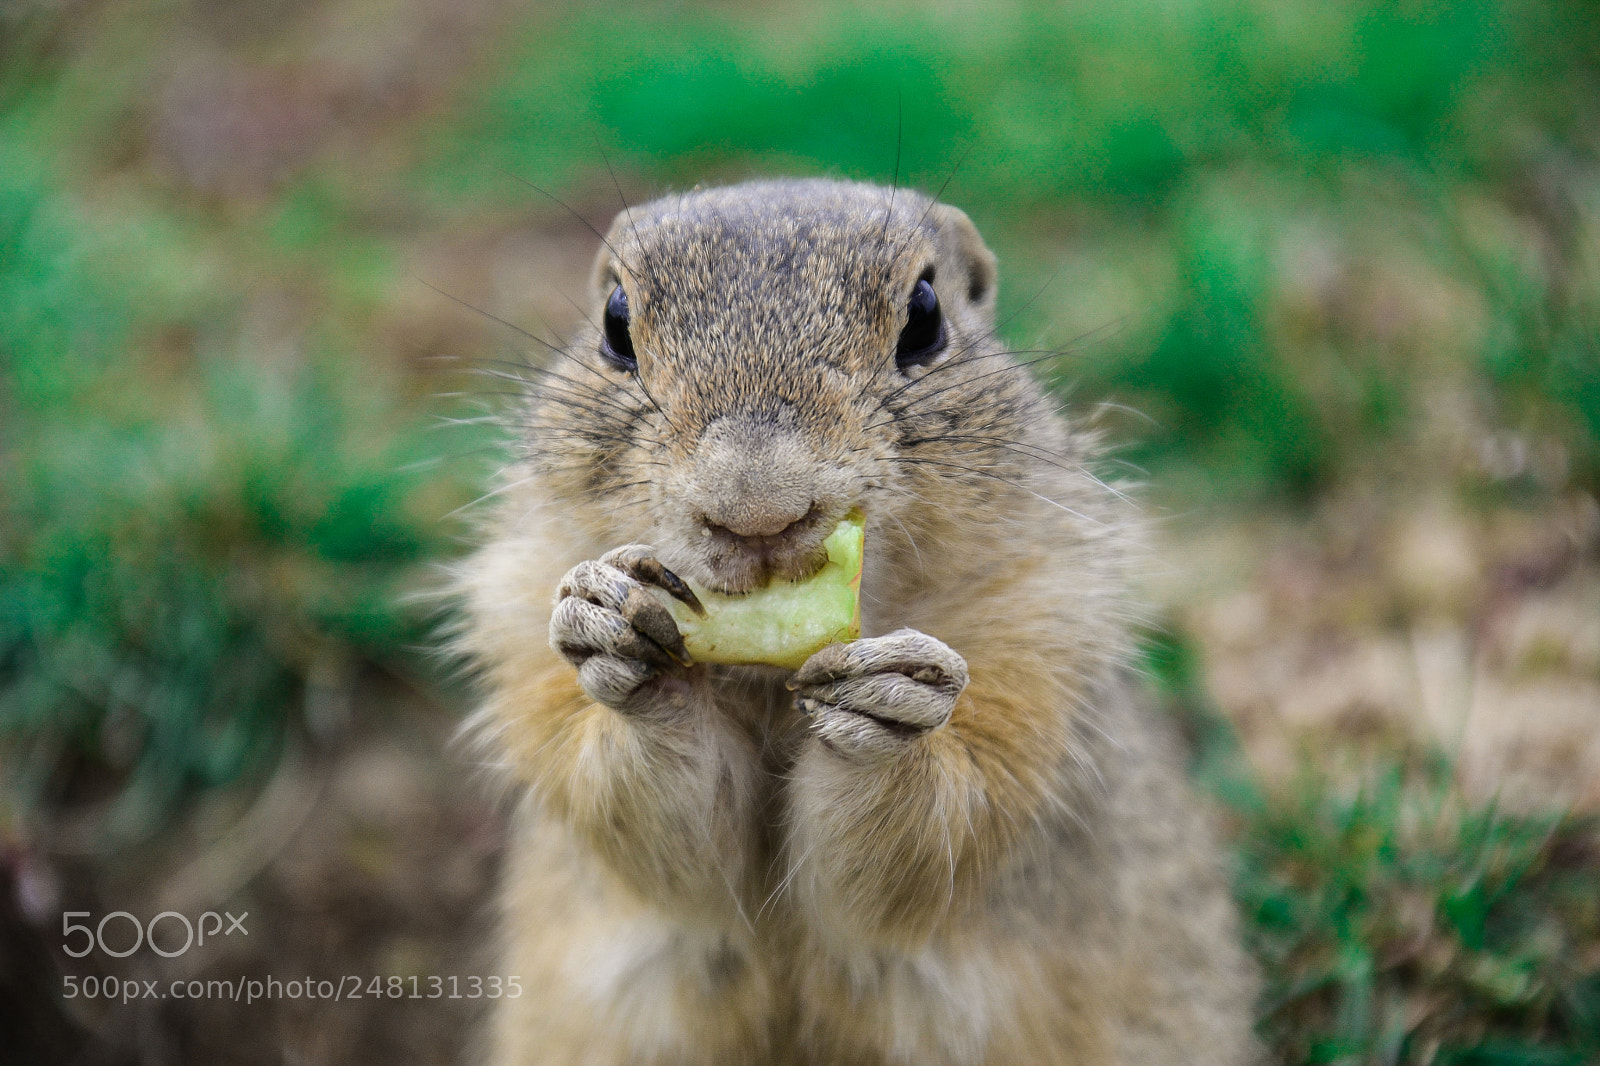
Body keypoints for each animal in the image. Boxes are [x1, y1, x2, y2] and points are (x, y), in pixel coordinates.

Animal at [453, 178, 1261, 1065]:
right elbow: (654, 830)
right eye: (613, 324)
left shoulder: (1041, 639)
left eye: (926, 317)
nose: (758, 508)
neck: (767, 684)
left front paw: (893, 701)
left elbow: (940, 824)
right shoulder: (521, 613)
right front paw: (612, 626)